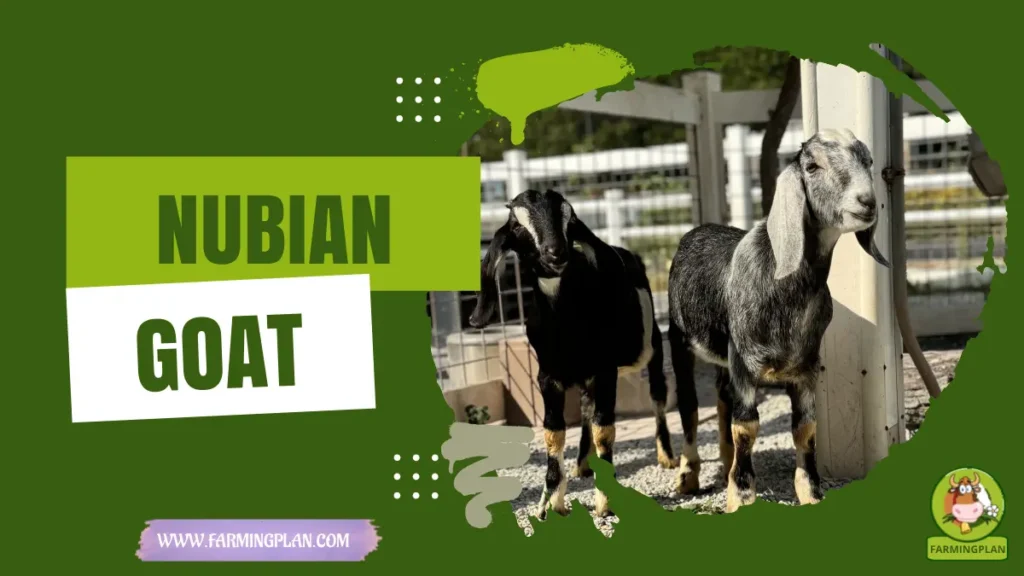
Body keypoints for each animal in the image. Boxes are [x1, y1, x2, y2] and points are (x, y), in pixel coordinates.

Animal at [469, 189, 678, 520]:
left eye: (570, 219)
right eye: (517, 226)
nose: (555, 254)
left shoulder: (604, 371)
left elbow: (604, 429)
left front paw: (605, 502)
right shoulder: (548, 376)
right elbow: (554, 432)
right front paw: (551, 504)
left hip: (652, 348)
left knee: (657, 394)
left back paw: (666, 456)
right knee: (585, 407)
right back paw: (582, 463)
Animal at [665, 129, 890, 512]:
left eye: (868, 160)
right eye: (812, 166)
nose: (867, 202)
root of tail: (697, 230)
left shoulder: (806, 369)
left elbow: (806, 428)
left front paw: (811, 494)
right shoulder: (745, 363)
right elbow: (747, 427)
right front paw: (741, 497)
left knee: (722, 399)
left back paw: (724, 464)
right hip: (680, 341)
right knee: (690, 408)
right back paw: (688, 476)